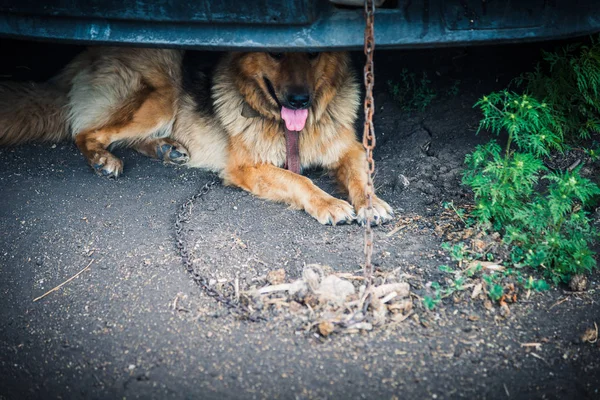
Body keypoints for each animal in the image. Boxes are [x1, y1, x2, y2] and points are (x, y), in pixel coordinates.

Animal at [0, 47, 394, 225]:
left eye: (313, 54)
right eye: (276, 53)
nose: (299, 100)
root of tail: (87, 53)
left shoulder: (351, 149)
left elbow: (360, 175)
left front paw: (370, 202)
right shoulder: (247, 167)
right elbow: (299, 180)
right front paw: (329, 203)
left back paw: (166, 149)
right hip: (160, 100)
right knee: (85, 131)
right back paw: (102, 159)